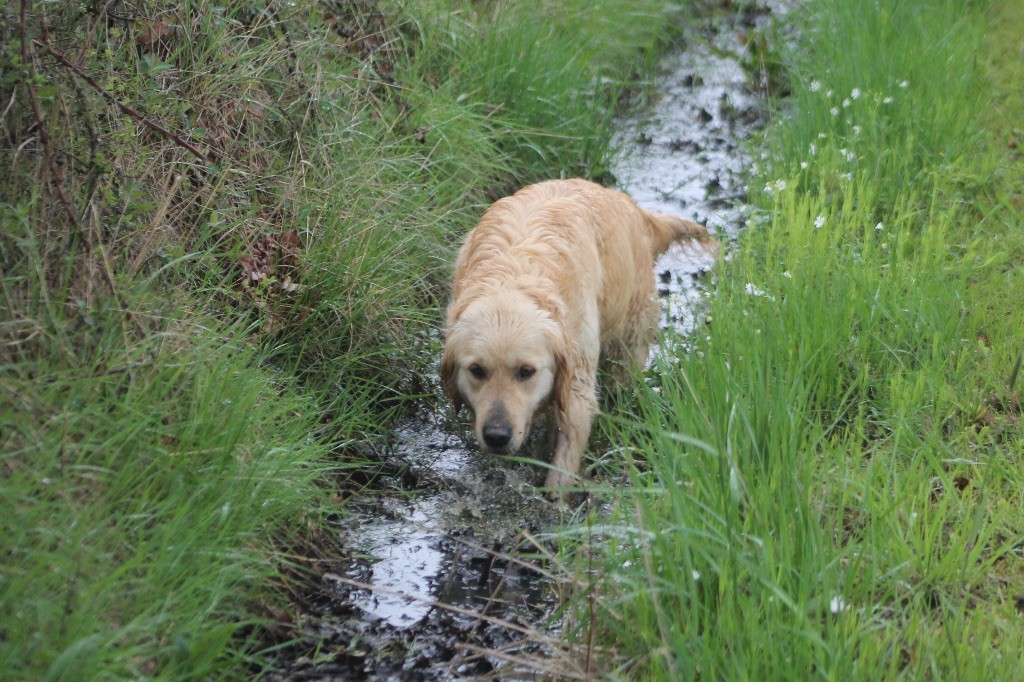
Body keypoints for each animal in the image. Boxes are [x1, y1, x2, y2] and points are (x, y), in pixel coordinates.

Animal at [442, 179, 720, 499]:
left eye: (526, 371)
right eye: (476, 370)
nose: (497, 435)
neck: (513, 278)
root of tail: (634, 209)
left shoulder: (576, 380)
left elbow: (569, 444)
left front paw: (553, 499)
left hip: (628, 335)